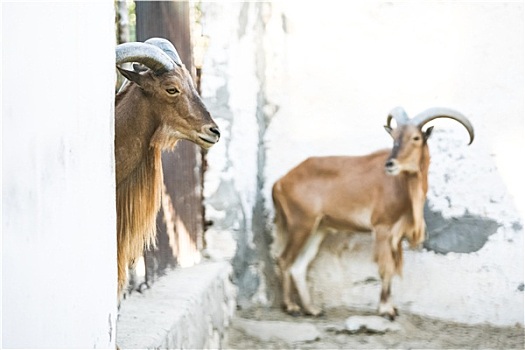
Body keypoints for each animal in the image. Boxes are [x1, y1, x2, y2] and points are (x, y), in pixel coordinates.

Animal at [272, 106, 472, 320]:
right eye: (394, 137)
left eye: (416, 137)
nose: (390, 164)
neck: (401, 185)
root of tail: (280, 182)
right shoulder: (382, 227)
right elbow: (386, 268)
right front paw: (386, 310)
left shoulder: (396, 234)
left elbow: (392, 268)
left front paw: (391, 307)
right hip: (301, 224)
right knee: (284, 260)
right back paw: (291, 307)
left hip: (318, 229)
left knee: (299, 266)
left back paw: (312, 309)